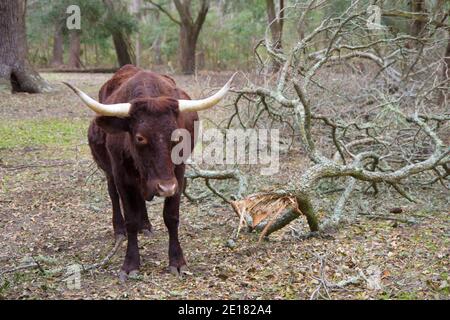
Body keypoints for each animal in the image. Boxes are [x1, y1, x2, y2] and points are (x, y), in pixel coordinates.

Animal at [65, 65, 237, 280]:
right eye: (140, 138)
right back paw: (119, 229)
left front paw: (177, 261)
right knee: (113, 196)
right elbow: (130, 217)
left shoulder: (178, 174)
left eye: (178, 137)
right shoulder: (121, 175)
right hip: (108, 171)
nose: (165, 187)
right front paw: (130, 263)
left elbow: (171, 217)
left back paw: (145, 225)